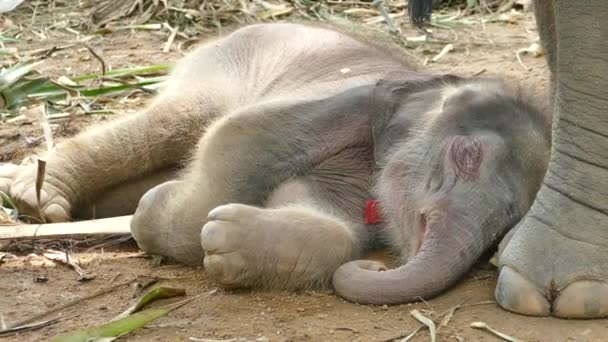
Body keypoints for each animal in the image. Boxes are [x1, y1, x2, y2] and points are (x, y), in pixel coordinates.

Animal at [0, 22, 552, 304]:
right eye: (466, 157)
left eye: (504, 231)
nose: (378, 264)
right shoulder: (339, 103)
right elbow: (237, 136)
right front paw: (153, 212)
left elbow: (313, 209)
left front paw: (226, 244)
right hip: (215, 67)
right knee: (176, 121)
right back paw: (37, 198)